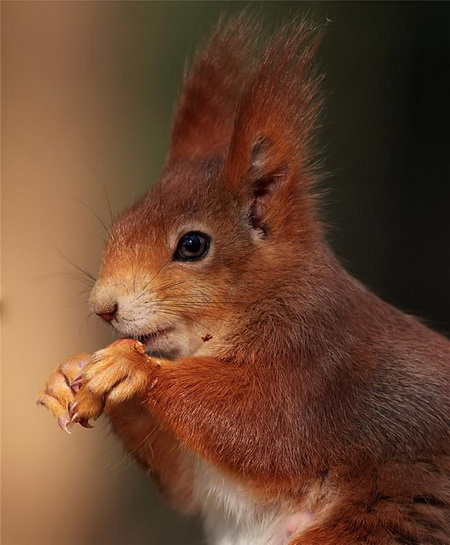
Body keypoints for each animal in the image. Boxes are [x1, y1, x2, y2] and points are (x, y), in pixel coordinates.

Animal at [38, 17, 450, 544]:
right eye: (120, 225)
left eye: (193, 245)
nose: (103, 307)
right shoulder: (198, 474)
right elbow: (183, 481)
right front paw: (67, 375)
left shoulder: (319, 367)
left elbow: (264, 427)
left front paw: (136, 370)